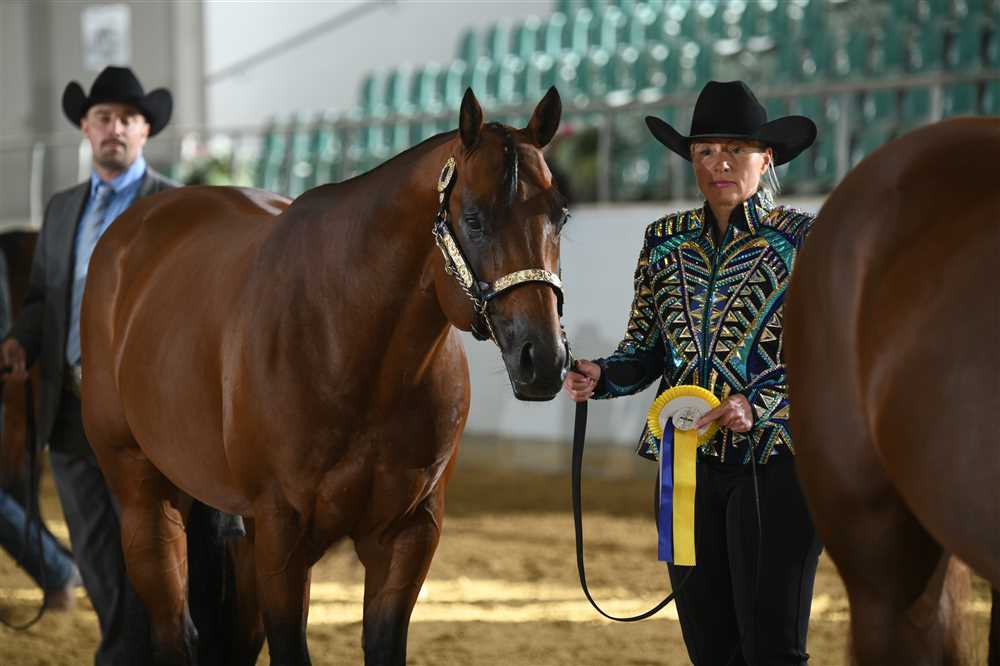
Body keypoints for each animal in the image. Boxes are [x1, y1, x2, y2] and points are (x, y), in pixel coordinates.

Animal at [79, 87, 568, 666]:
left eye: (560, 216)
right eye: (473, 219)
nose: (543, 359)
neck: (352, 348)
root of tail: (127, 235)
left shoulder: (408, 534)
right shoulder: (282, 536)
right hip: (143, 495)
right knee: (173, 628)